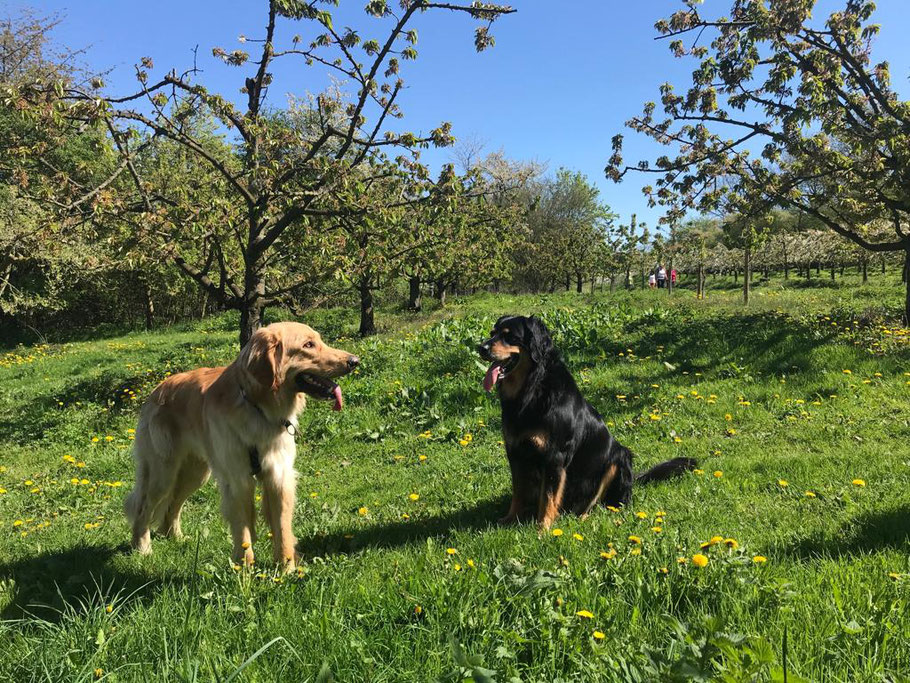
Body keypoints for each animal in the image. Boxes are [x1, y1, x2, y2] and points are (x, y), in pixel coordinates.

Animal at [125, 324, 360, 568]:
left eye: (318, 341)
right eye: (308, 345)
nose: (355, 361)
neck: (258, 407)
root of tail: (156, 391)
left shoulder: (279, 475)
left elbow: (282, 529)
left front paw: (287, 568)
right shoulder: (238, 480)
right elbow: (243, 531)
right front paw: (244, 569)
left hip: (195, 473)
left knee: (172, 505)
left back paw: (176, 537)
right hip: (163, 473)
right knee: (143, 508)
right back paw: (142, 547)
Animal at [478, 316, 700, 528]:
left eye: (509, 336)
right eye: (492, 333)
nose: (481, 348)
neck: (531, 389)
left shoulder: (555, 456)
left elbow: (548, 498)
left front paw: (543, 528)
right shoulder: (515, 452)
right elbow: (518, 493)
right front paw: (510, 519)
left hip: (618, 459)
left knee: (602, 503)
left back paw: (583, 518)